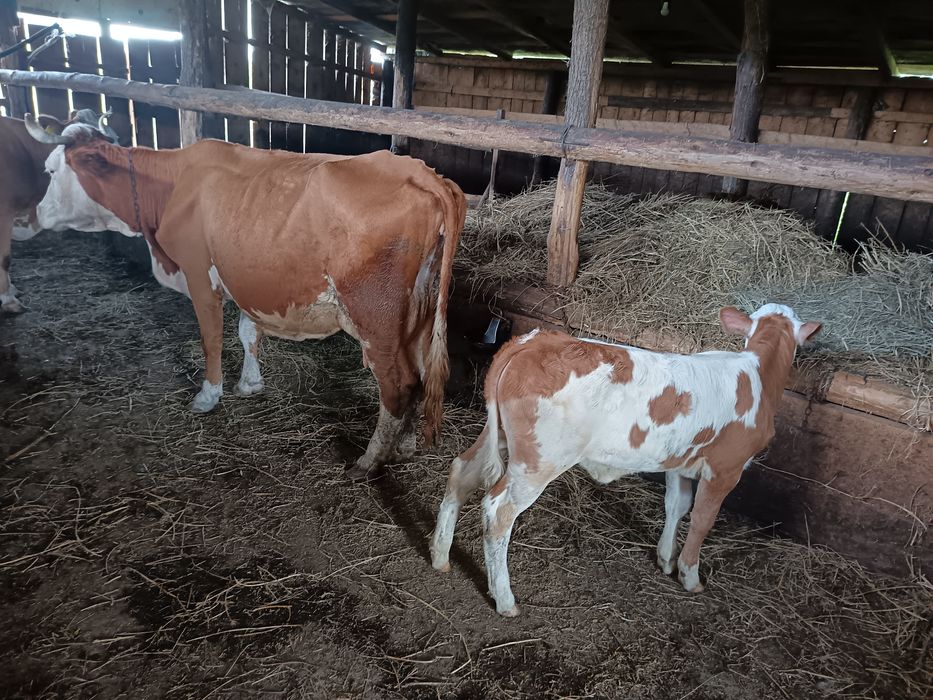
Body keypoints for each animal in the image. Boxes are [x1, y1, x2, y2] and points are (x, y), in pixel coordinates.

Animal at [25, 117, 466, 477]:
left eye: (50, 170)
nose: (32, 217)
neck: (172, 186)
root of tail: (425, 174)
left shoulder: (198, 273)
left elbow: (212, 338)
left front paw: (208, 395)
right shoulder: (245, 276)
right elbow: (247, 331)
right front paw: (250, 383)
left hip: (377, 317)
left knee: (398, 384)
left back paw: (370, 460)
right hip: (419, 314)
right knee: (422, 376)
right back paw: (404, 446)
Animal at [430, 304, 822, 616]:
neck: (757, 373)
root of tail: (534, 343)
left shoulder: (679, 463)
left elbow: (676, 505)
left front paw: (665, 558)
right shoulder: (725, 469)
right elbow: (702, 520)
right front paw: (690, 575)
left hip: (496, 434)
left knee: (461, 472)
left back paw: (439, 556)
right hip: (538, 462)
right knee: (498, 511)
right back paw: (505, 599)